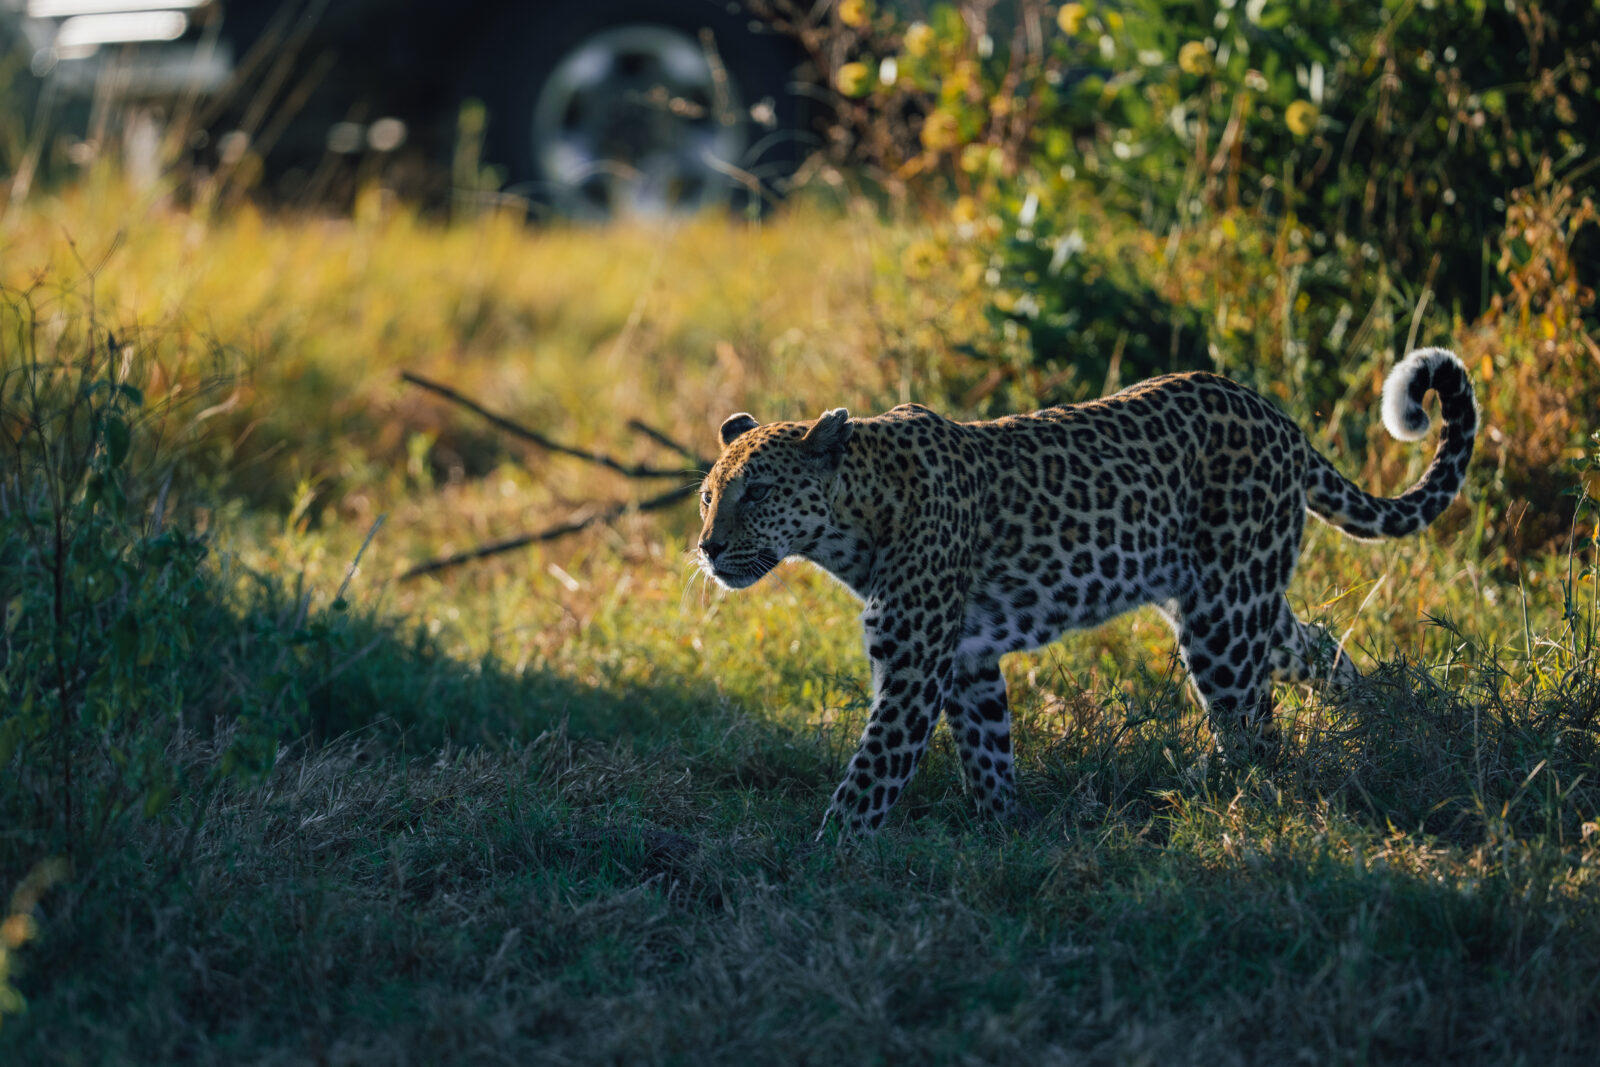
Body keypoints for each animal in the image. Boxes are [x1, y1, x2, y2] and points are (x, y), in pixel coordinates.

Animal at [695, 348, 1478, 836]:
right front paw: (1003, 835)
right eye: (707, 497)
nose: (706, 549)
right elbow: (988, 753)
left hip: (1222, 621)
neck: (855, 523)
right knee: (1317, 648)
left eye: (756, 492)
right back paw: (1380, 718)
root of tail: (1277, 416)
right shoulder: (968, 663)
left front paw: (825, 859)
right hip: (1242, 600)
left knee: (1255, 727)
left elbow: (870, 777)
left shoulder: (914, 670)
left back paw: (1240, 808)